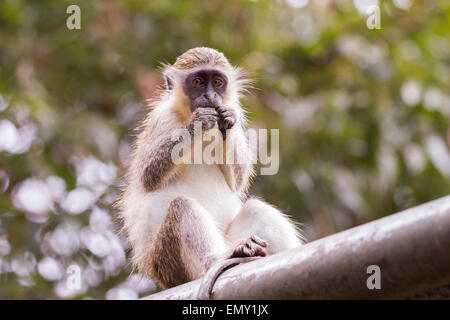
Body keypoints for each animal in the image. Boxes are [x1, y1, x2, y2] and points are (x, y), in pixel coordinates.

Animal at [118, 46, 304, 292]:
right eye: (197, 82)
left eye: (217, 82)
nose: (210, 97)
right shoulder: (162, 119)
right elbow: (148, 175)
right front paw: (197, 124)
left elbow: (237, 182)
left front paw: (228, 121)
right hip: (169, 261)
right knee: (180, 205)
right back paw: (219, 258)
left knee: (256, 209)